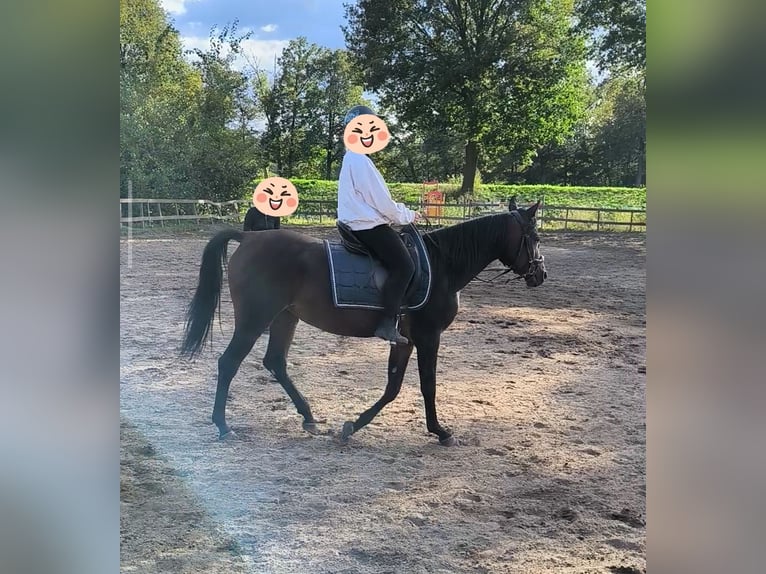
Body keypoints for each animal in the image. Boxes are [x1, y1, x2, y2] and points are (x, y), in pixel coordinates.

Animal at [181, 201, 546, 446]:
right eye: (535, 237)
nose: (541, 274)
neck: (442, 265)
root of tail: (248, 238)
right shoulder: (428, 337)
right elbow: (427, 385)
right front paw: (441, 432)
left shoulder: (405, 339)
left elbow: (393, 387)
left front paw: (352, 427)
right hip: (255, 317)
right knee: (229, 362)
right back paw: (223, 425)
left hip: (286, 317)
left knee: (275, 362)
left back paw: (309, 418)